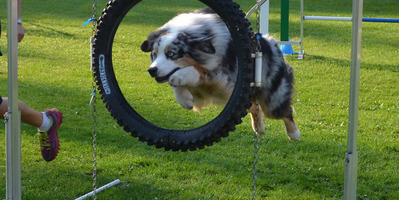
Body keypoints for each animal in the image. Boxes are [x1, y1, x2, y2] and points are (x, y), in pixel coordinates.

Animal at [141, 8, 300, 141]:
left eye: (171, 54)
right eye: (154, 54)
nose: (152, 70)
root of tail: (273, 44)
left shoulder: (222, 74)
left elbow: (195, 72)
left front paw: (180, 78)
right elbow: (174, 81)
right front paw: (184, 99)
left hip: (272, 100)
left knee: (285, 111)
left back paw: (294, 134)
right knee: (254, 108)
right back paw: (259, 127)